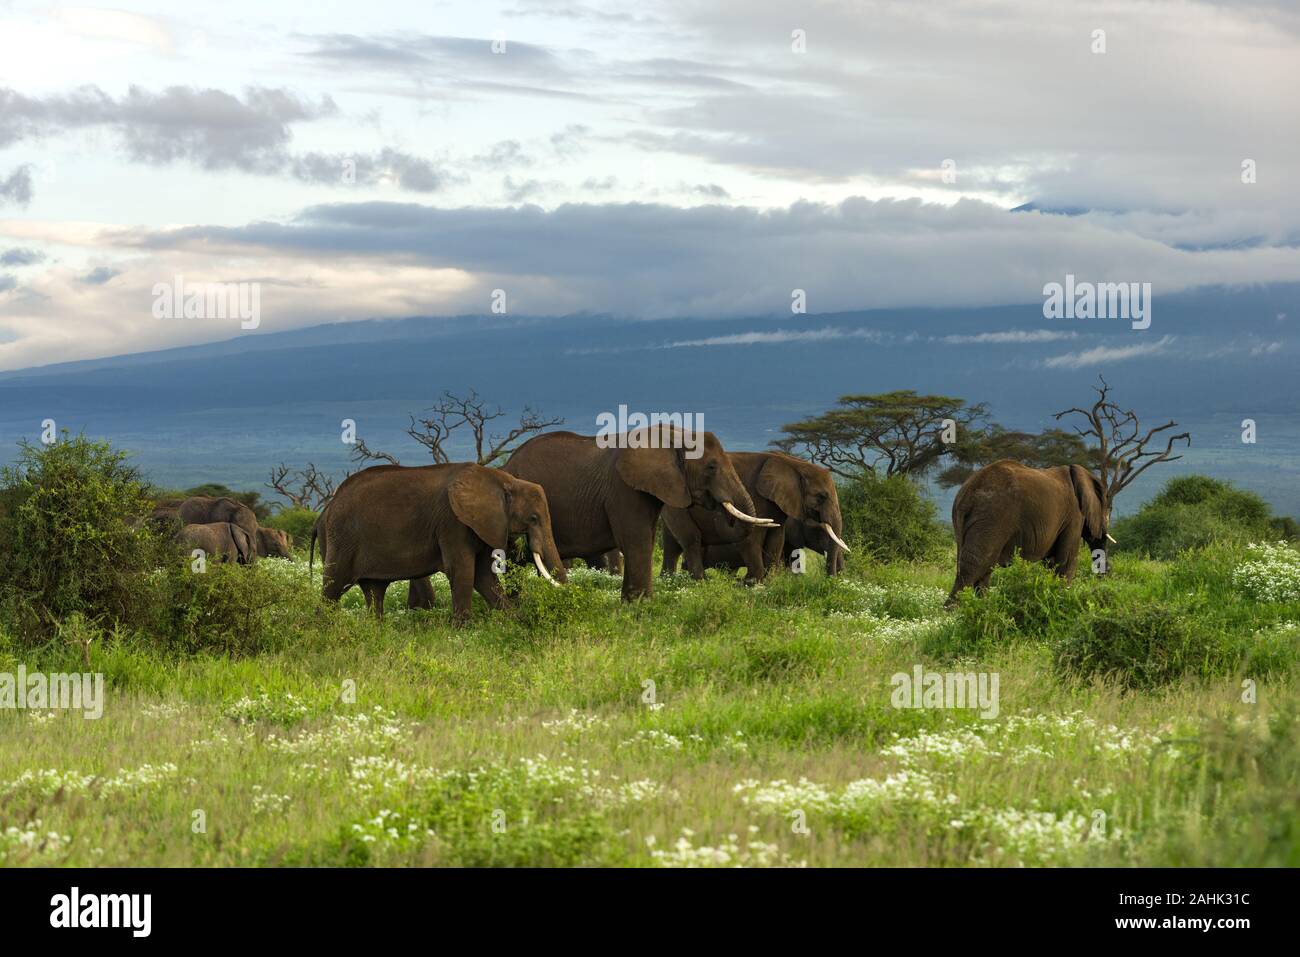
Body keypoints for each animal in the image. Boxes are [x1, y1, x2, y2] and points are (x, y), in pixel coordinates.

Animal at [312, 462, 566, 624]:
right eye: (533, 518)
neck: (504, 480)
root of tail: (325, 511)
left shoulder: (480, 524)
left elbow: (484, 576)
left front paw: (513, 622)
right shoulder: (452, 523)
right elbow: (463, 571)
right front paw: (463, 630)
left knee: (374, 591)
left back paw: (376, 630)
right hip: (341, 539)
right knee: (333, 587)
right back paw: (322, 629)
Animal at [501, 426, 769, 598]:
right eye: (711, 467)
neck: (672, 435)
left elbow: (643, 541)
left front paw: (632, 603)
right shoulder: (623, 490)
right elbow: (636, 541)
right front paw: (641, 606)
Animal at [660, 449, 852, 579]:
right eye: (821, 497)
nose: (834, 579)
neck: (793, 464)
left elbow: (776, 539)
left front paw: (770, 581)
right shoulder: (755, 495)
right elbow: (752, 538)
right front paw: (752, 582)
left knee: (671, 546)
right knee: (691, 539)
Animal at [946, 457, 1118, 605]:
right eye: (1106, 507)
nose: (1107, 576)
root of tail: (967, 493)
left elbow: (1051, 562)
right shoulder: (1074, 516)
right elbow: (1066, 563)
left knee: (979, 570)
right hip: (991, 518)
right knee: (974, 566)